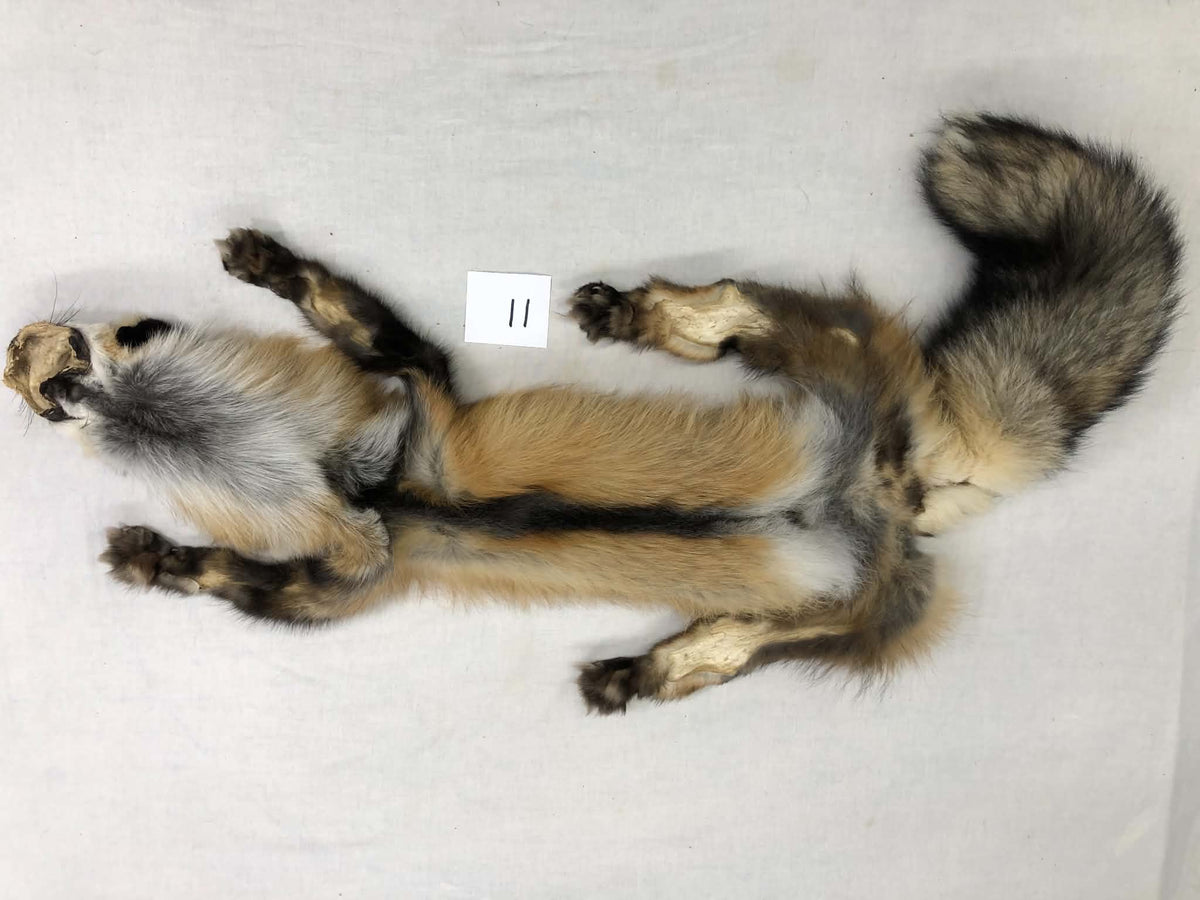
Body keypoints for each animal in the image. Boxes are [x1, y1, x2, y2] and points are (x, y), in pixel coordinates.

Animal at [3, 114, 1181, 713]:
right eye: (46, 378)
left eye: (85, 347)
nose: (23, 358)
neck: (368, 484)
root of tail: (898, 491)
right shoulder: (370, 533)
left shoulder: (400, 442)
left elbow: (347, 326)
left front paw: (266, 266)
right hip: (830, 608)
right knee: (732, 649)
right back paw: (645, 666)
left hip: (826, 373)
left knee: (736, 310)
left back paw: (641, 322)